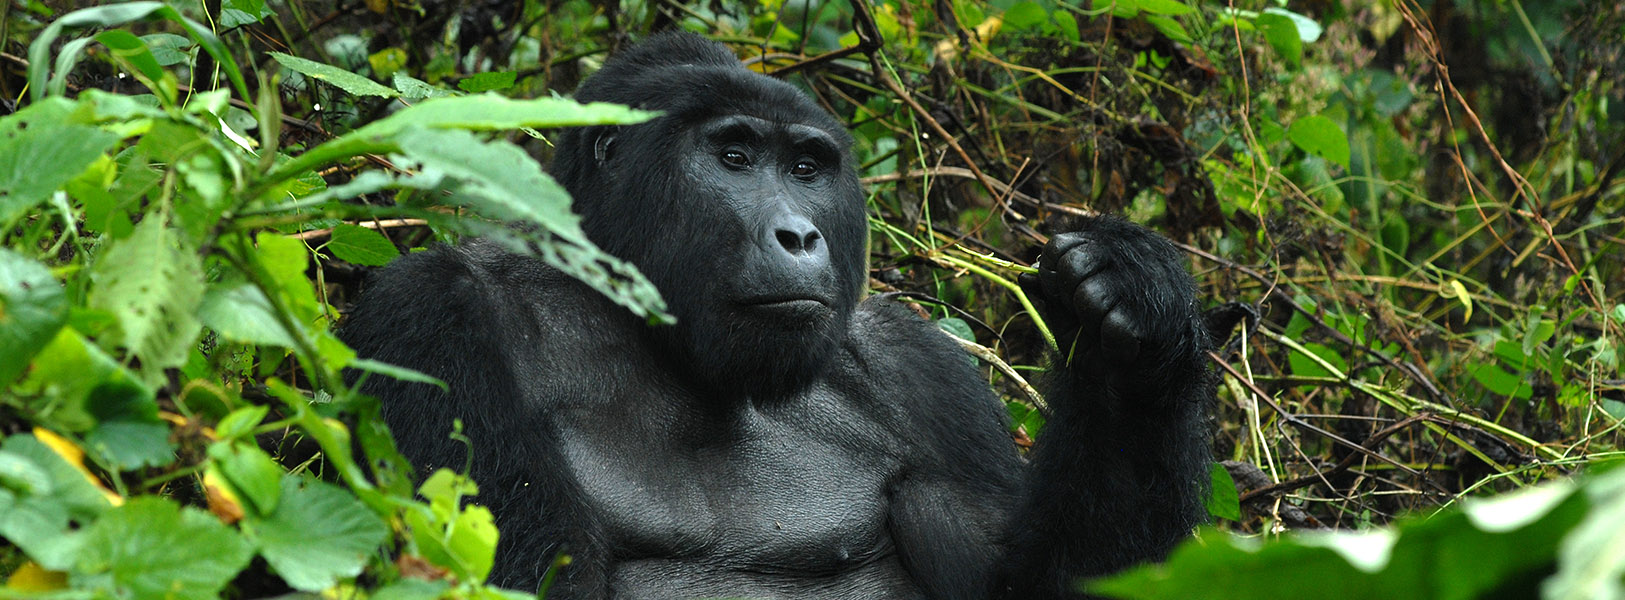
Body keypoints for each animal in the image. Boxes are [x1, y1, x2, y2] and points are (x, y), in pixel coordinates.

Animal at [339, 30, 1209, 595]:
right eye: (733, 158)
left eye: (805, 168)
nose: (798, 233)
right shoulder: (430, 314)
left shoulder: (916, 367)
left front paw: (1132, 334)